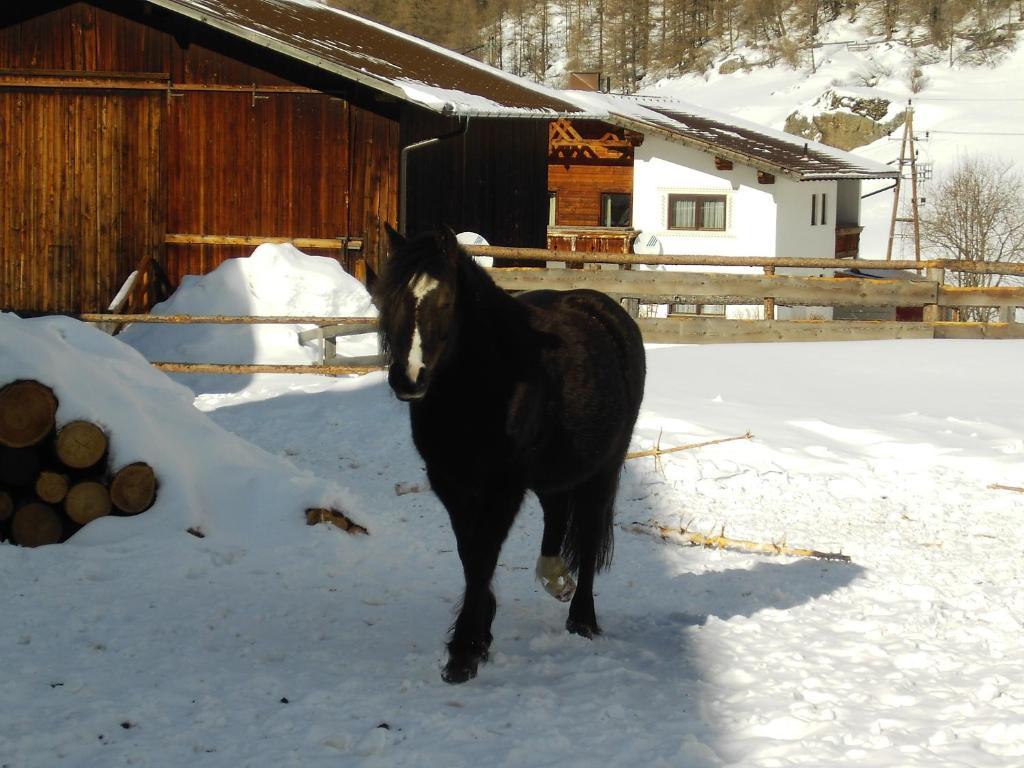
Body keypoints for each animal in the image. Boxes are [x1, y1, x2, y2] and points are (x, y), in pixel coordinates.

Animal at [376, 225, 647, 684]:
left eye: (444, 302)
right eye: (387, 298)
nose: (407, 379)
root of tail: (607, 310)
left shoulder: (502, 487)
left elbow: (483, 554)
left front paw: (465, 652)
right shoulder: (448, 481)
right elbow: (470, 555)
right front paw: (479, 632)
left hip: (603, 470)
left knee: (589, 537)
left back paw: (582, 618)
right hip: (556, 468)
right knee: (556, 512)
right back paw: (555, 579)